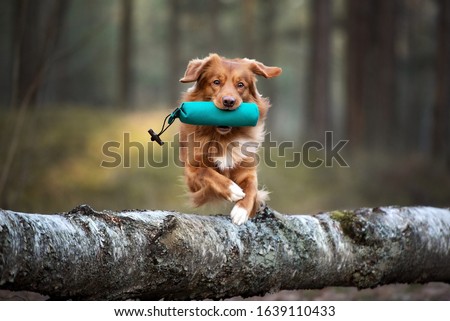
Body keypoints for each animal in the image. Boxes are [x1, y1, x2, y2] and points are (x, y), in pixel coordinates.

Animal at [178, 53, 282, 224]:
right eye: (216, 82)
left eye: (240, 84)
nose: (229, 101)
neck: (224, 138)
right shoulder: (192, 172)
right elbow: (206, 172)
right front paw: (232, 189)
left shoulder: (247, 168)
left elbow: (252, 187)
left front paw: (242, 210)